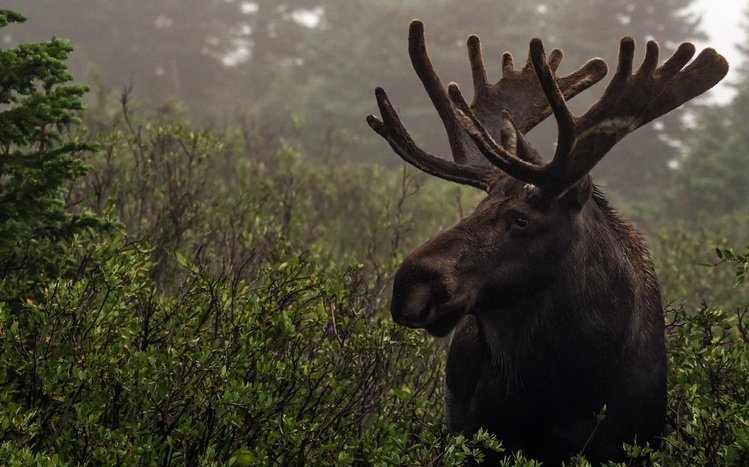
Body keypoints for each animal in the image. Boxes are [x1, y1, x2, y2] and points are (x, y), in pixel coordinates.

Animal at [367, 20, 728, 465]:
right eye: (476, 208)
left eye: (522, 219)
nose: (410, 285)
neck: (573, 387)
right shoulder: (485, 438)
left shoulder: (633, 442)